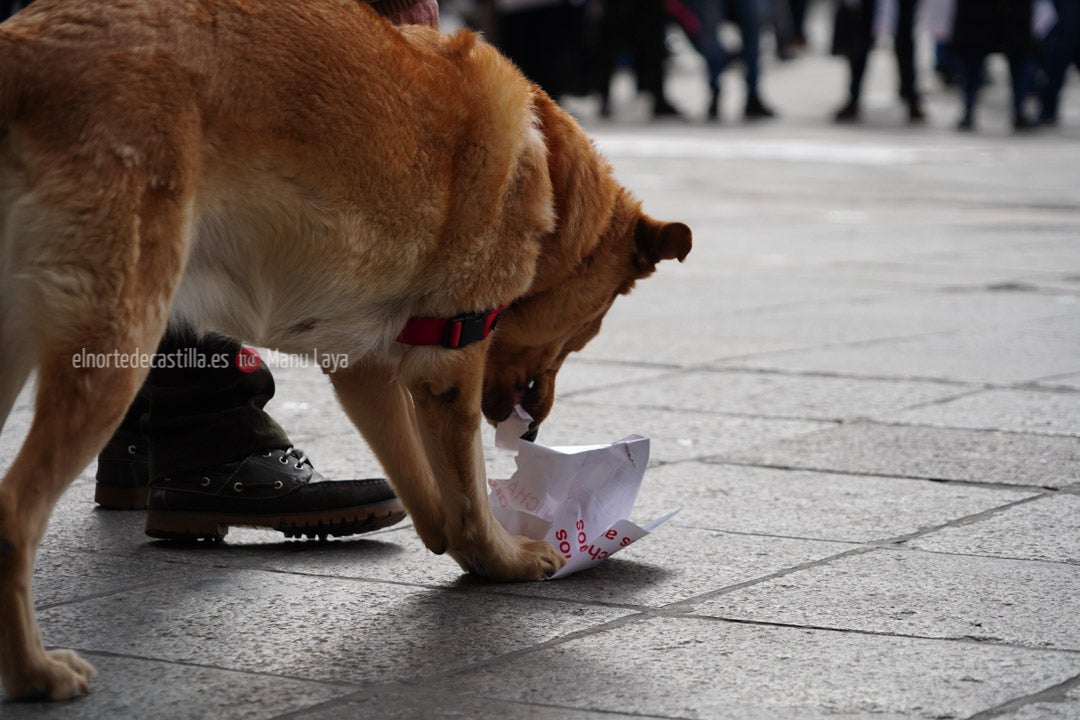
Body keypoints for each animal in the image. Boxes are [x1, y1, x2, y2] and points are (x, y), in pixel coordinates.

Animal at [0, 0, 691, 699]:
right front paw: (503, 558)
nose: (534, 428)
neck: (544, 163)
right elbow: (467, 493)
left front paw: (456, 543)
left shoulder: (363, 368)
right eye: (589, 329)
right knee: (12, 513)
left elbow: (432, 499)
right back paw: (34, 672)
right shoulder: (450, 362)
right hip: (116, 347)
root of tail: (23, 51)